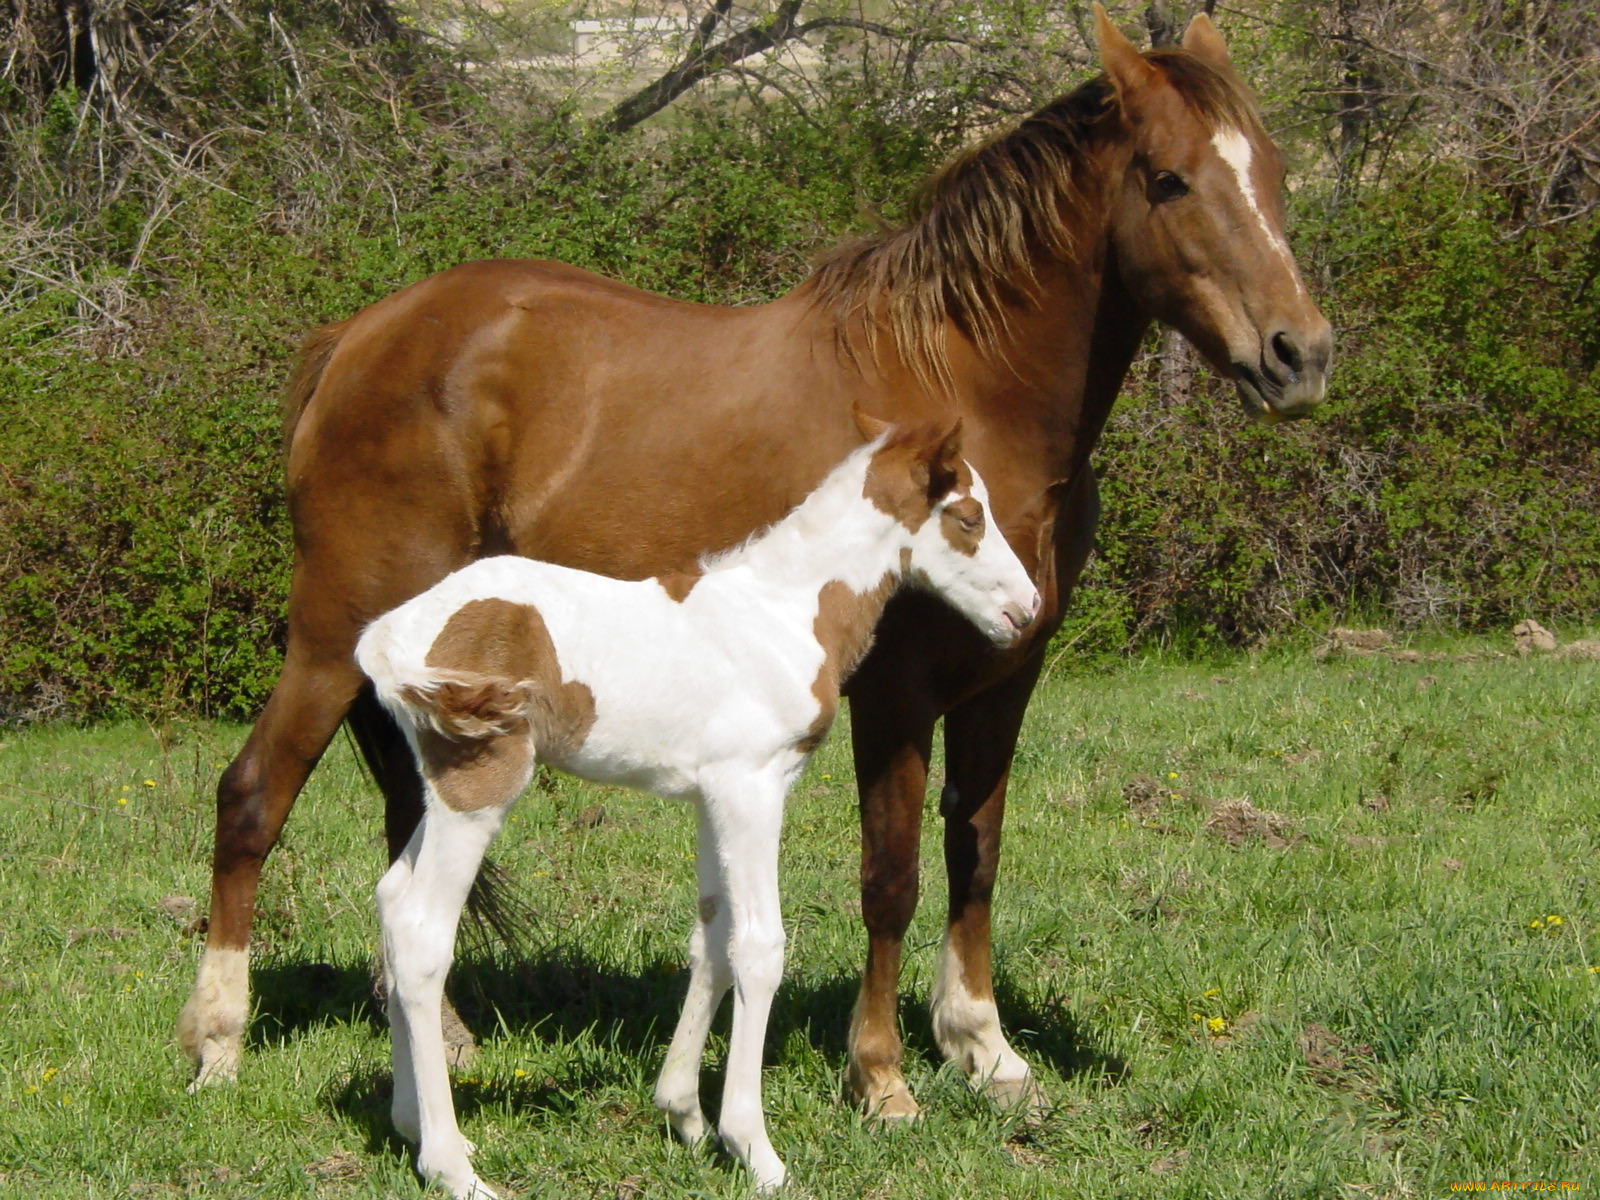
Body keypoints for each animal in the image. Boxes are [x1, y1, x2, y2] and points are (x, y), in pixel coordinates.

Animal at [356, 419, 1043, 1196]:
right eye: (968, 518)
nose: (1027, 609)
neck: (786, 613)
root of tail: (387, 638)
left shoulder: (712, 795)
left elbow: (712, 939)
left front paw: (683, 1113)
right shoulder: (754, 788)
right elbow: (760, 947)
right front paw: (754, 1146)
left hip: (440, 790)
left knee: (391, 902)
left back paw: (412, 1125)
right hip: (479, 788)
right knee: (422, 933)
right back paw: (451, 1164)